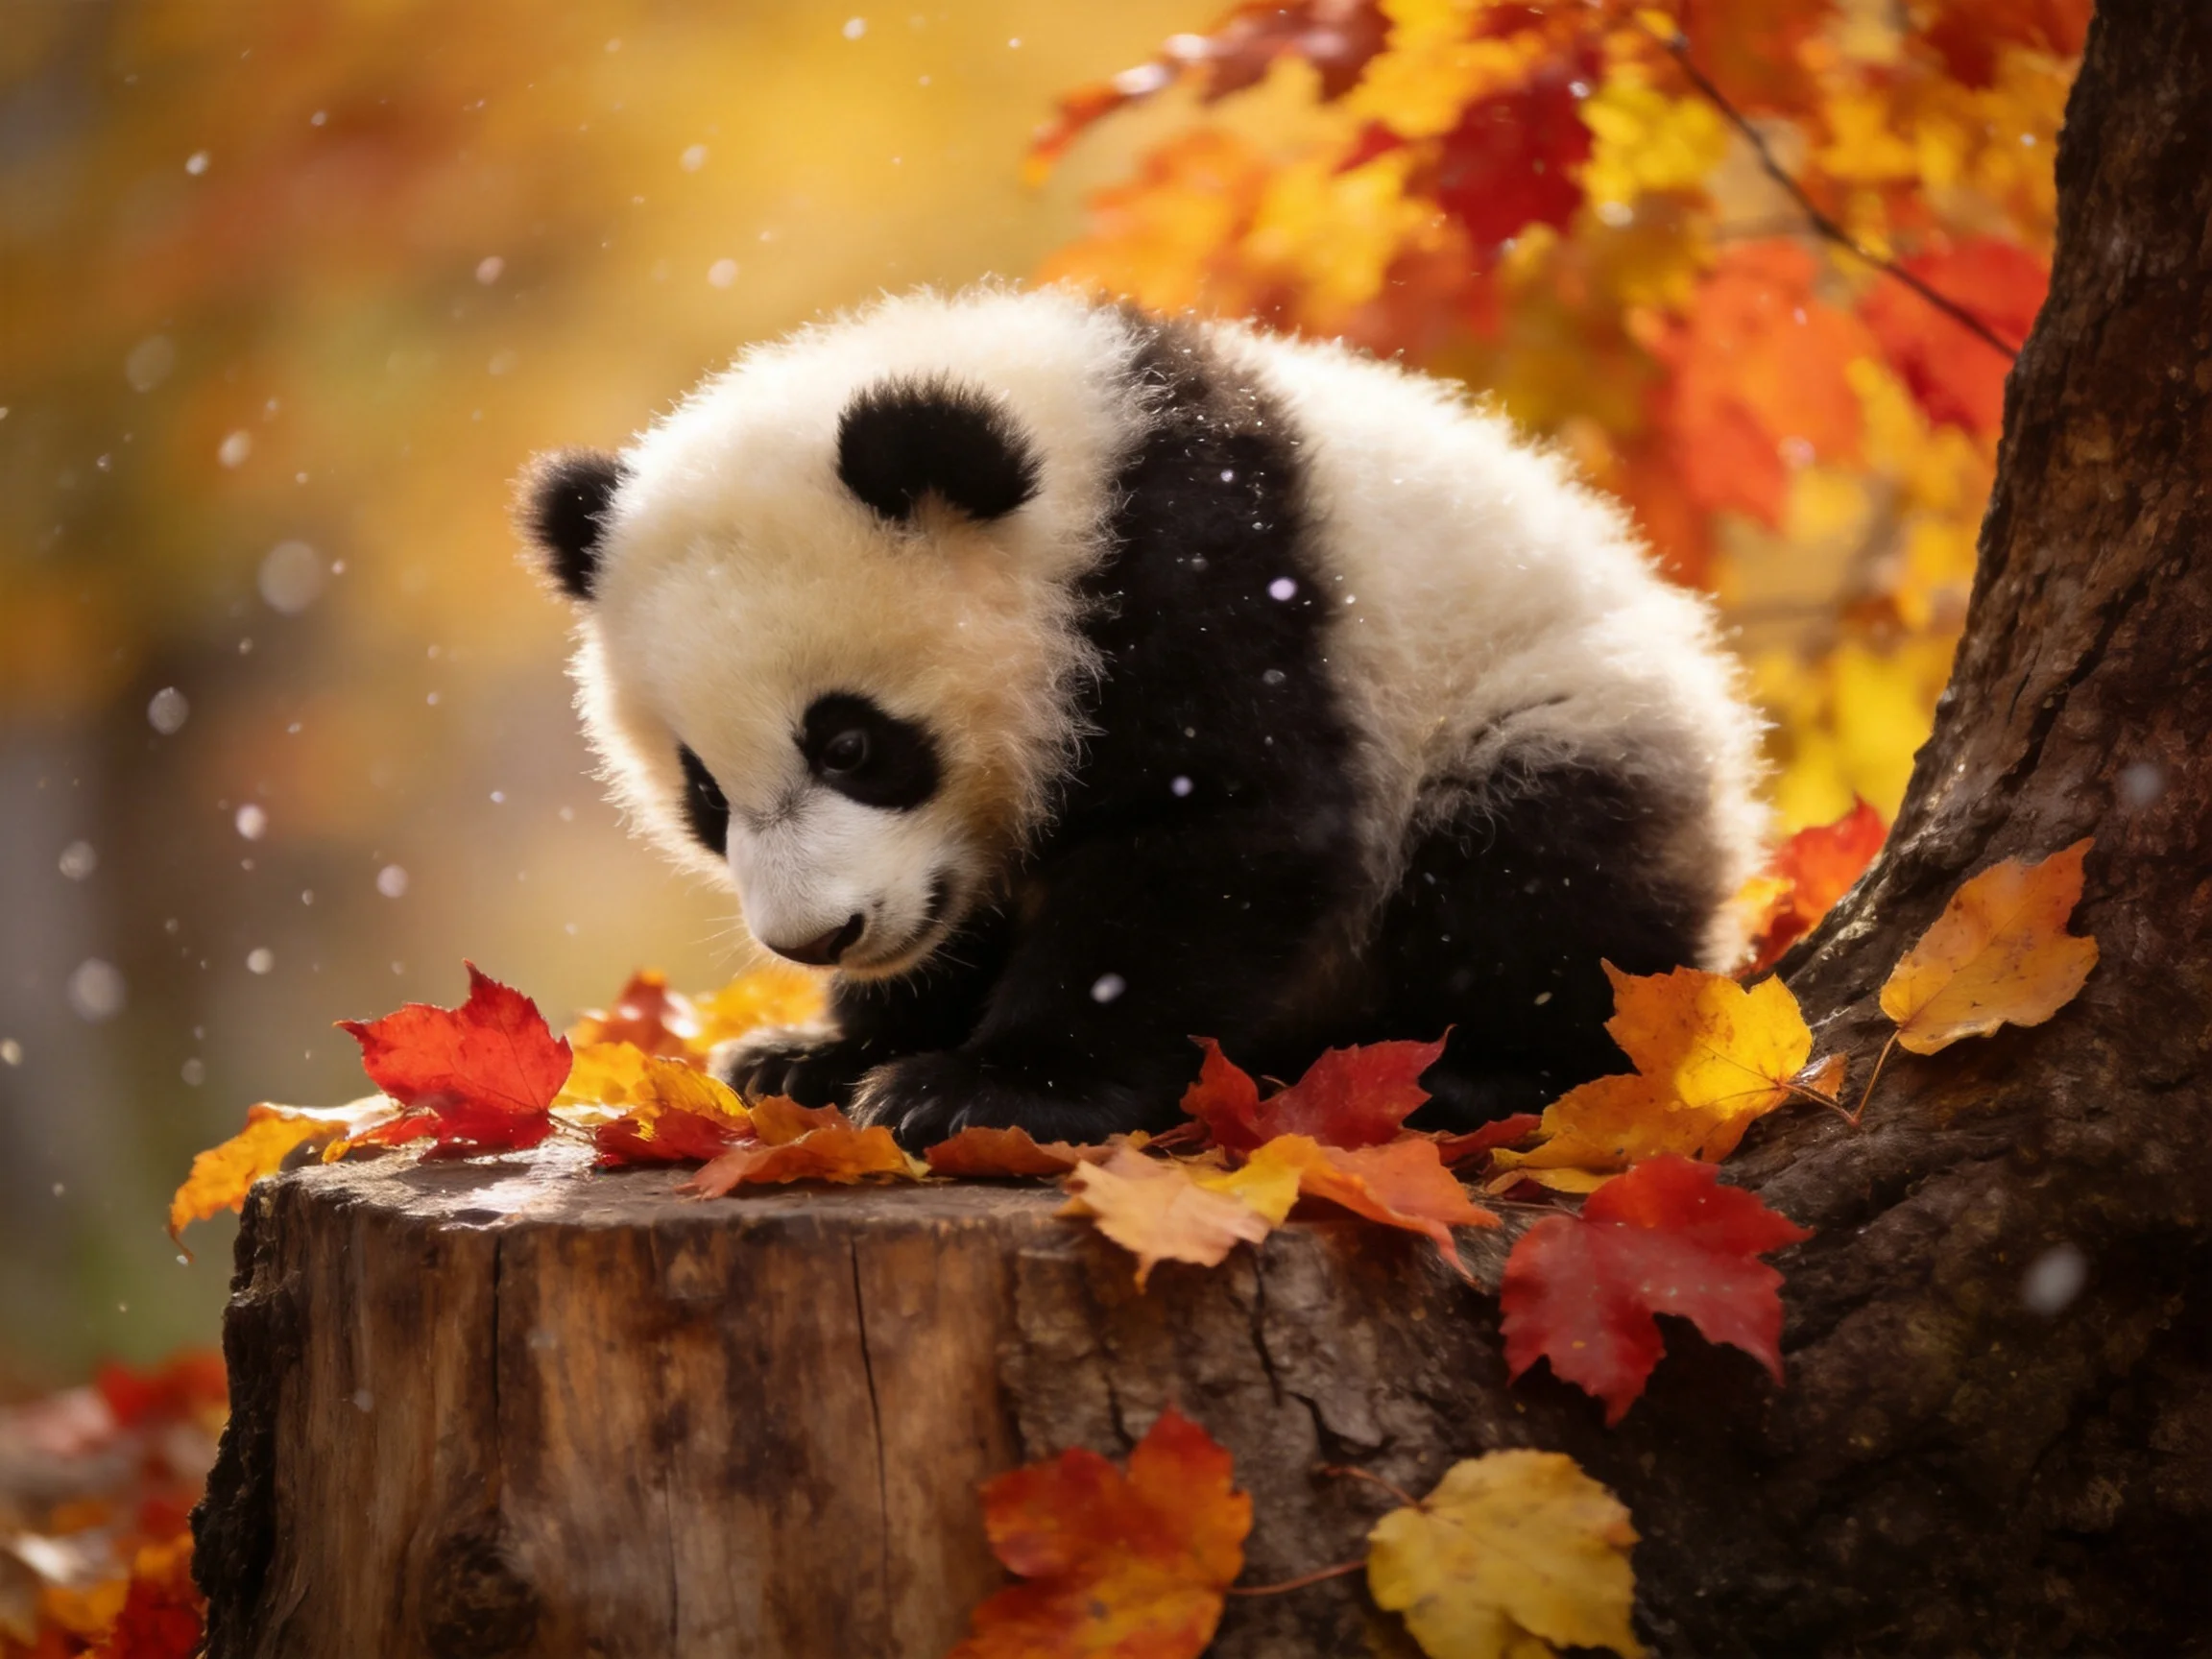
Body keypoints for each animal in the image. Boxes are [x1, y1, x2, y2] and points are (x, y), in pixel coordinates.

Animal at [518, 286, 1767, 1148]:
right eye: (704, 792)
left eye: (853, 744)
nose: (816, 939)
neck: (1071, 461)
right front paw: (822, 1057)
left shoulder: (1201, 583)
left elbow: (1217, 835)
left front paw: (978, 1090)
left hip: (1541, 703)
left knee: (1540, 872)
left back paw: (1482, 1072)